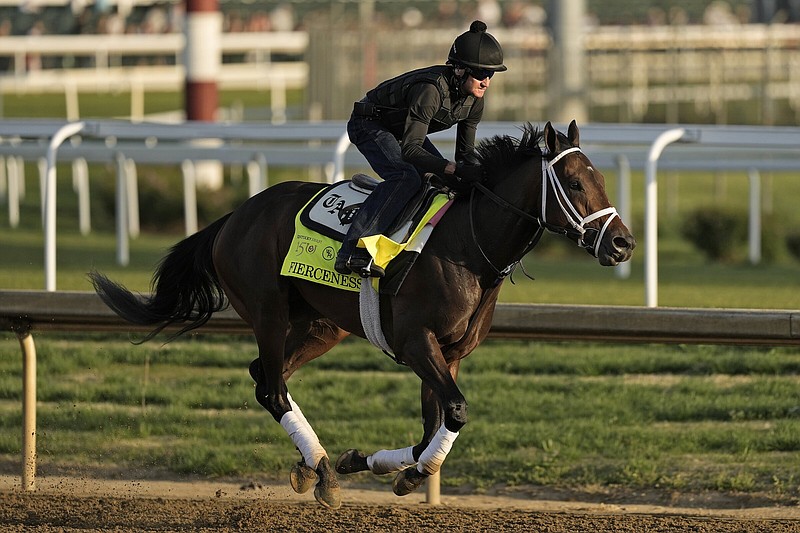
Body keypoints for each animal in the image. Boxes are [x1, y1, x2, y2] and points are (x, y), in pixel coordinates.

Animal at [90, 119, 636, 508]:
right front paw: (400, 472)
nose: (622, 243)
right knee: (272, 386)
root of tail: (233, 217)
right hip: (267, 312)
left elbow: (431, 430)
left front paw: (376, 464)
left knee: (266, 378)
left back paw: (314, 465)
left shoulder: (448, 354)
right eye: (573, 182)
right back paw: (322, 470)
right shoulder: (417, 343)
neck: (469, 246)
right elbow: (456, 412)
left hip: (321, 326)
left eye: (602, 180)